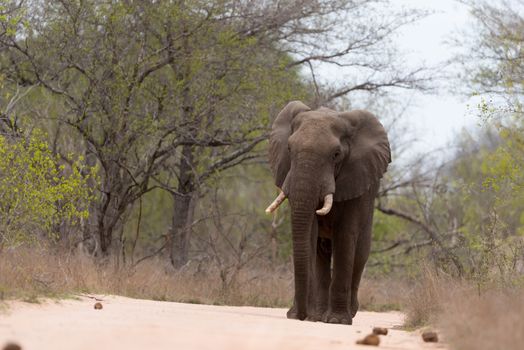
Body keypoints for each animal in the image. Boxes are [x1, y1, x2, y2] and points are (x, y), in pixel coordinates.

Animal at [266, 100, 388, 326]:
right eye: (289, 148)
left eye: (336, 155)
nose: (300, 316)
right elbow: (310, 236)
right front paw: (305, 317)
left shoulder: (356, 180)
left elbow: (345, 236)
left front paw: (337, 321)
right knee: (320, 252)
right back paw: (318, 316)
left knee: (360, 254)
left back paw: (348, 313)